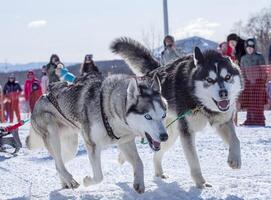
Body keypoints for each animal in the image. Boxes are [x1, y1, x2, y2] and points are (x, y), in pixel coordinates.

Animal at [25, 72, 168, 194]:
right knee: (59, 163)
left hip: (71, 147)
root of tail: (44, 95)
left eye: (163, 115)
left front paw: (139, 182)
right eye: (148, 116)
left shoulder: (125, 142)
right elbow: (99, 176)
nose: (164, 136)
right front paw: (87, 181)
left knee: (57, 162)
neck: (108, 107)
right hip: (52, 133)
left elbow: (139, 163)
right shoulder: (92, 144)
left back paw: (66, 182)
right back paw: (70, 179)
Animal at [111, 37, 244, 188]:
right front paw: (201, 182)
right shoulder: (187, 132)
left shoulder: (223, 122)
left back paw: (159, 172)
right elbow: (194, 160)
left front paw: (235, 159)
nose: (224, 93)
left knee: (156, 154)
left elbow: (235, 140)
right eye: (209, 80)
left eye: (227, 77)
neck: (197, 100)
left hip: (168, 135)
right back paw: (122, 156)